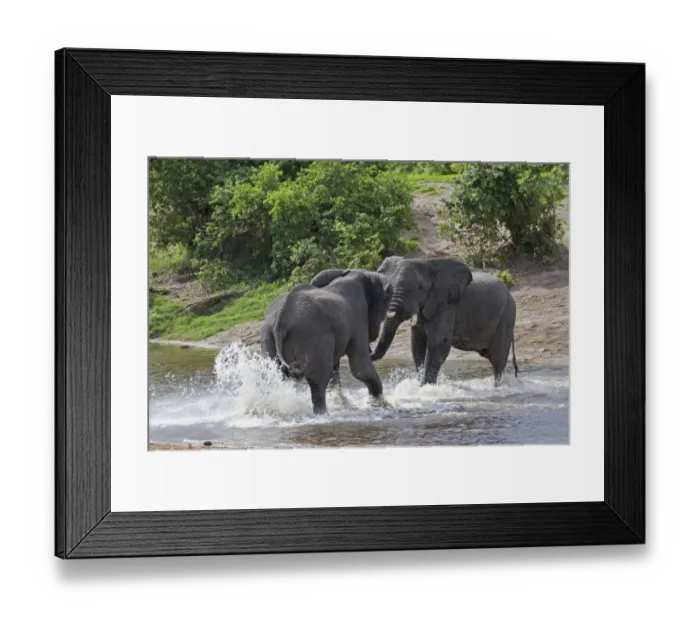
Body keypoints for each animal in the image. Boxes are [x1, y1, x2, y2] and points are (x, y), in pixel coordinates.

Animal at [260, 269, 393, 414]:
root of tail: (280, 324)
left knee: (271, 375)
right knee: (319, 379)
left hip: (268, 335)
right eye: (386, 302)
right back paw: (322, 413)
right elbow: (360, 367)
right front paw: (382, 404)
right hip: (312, 337)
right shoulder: (358, 317)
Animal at [369, 256, 519, 386]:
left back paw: (496, 387)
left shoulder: (447, 304)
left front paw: (426, 387)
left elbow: (439, 343)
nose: (369, 348)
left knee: (498, 360)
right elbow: (417, 344)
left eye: (420, 288)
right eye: (389, 286)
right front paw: (420, 384)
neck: (428, 263)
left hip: (506, 316)